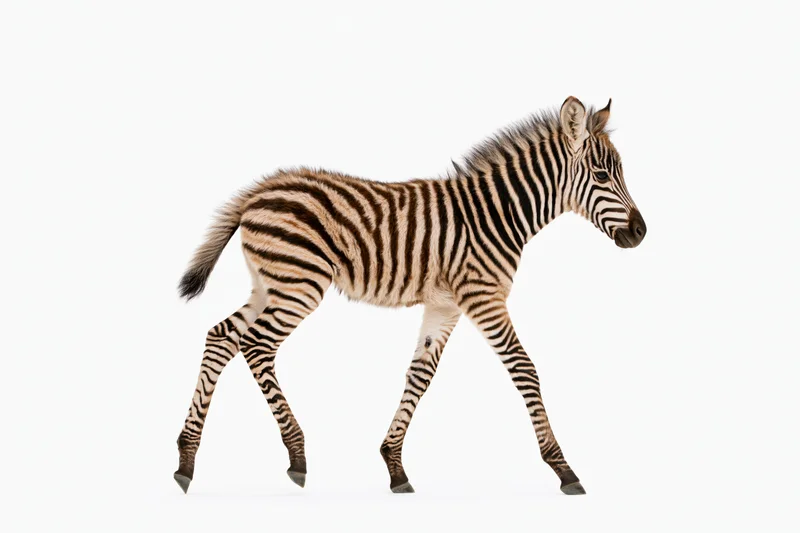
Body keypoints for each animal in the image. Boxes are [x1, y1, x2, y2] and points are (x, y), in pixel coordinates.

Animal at [174, 96, 646, 496]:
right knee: (255, 345)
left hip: (268, 284)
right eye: (602, 176)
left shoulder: (445, 305)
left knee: (221, 336)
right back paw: (296, 454)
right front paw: (563, 467)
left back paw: (186, 458)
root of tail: (258, 191)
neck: (499, 214)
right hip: (298, 284)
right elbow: (524, 369)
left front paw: (394, 465)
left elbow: (420, 375)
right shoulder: (483, 297)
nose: (641, 233)